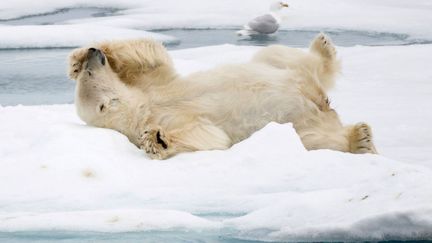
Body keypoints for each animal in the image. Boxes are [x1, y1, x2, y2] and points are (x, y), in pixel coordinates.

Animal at [69, 33, 376, 159]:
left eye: (88, 71)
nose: (93, 55)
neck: (142, 109)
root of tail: (322, 103)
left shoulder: (154, 86)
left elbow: (151, 59)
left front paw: (77, 57)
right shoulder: (163, 117)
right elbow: (209, 136)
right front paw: (157, 140)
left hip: (279, 68)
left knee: (281, 56)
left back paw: (321, 48)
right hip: (304, 127)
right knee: (318, 140)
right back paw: (360, 139)